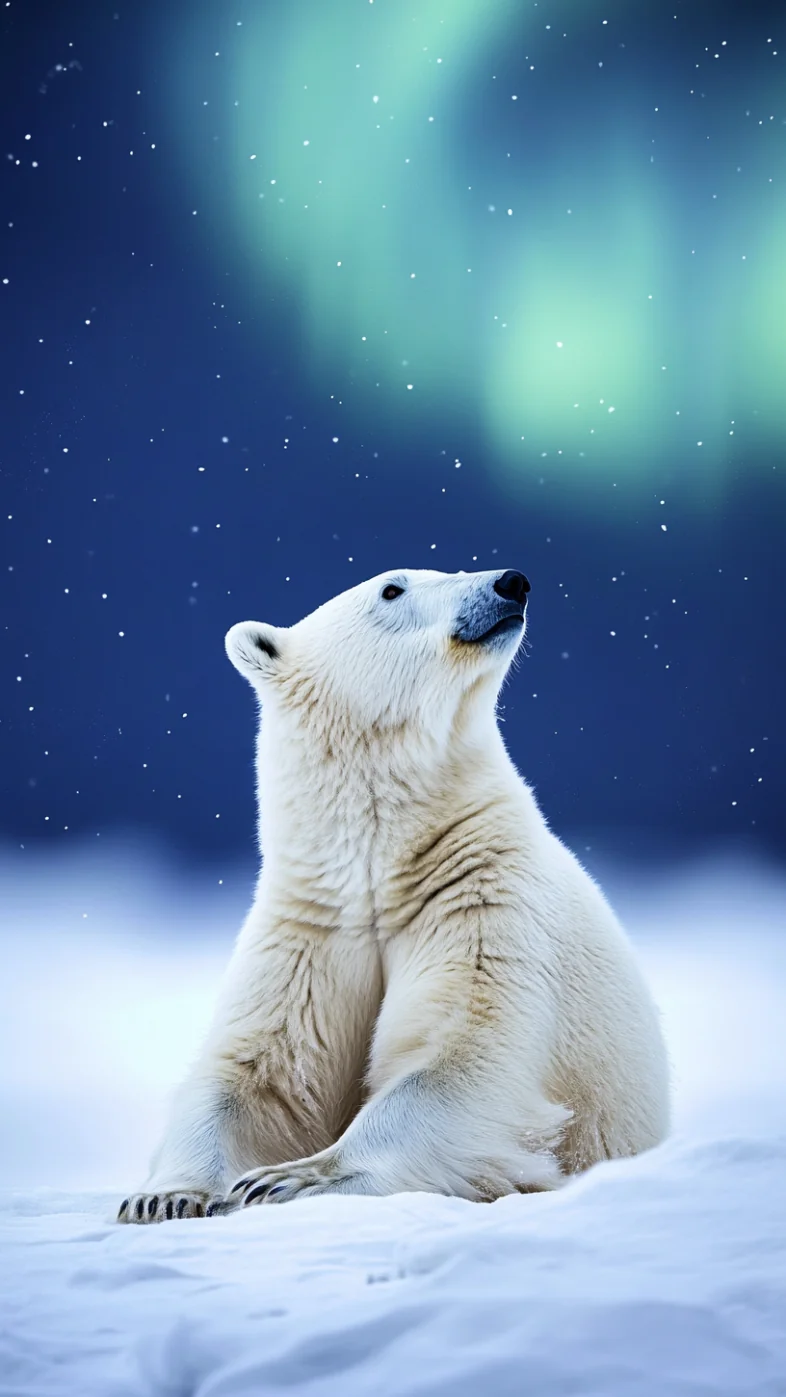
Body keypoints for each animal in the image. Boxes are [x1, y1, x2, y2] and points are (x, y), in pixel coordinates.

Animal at [118, 567, 670, 1224]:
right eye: (392, 589)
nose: (511, 582)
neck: (381, 870)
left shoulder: (484, 898)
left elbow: (458, 1058)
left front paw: (292, 1178)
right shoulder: (315, 930)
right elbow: (257, 1073)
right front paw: (164, 1195)